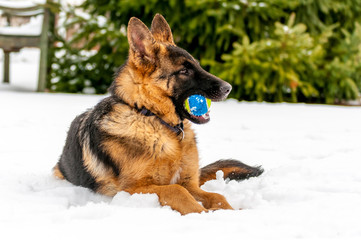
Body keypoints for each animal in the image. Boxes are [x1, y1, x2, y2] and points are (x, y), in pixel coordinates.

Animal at [53, 14, 262, 215]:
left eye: (197, 65)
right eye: (184, 71)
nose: (228, 88)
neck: (151, 117)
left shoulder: (190, 183)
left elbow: (216, 195)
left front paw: (231, 212)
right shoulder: (132, 189)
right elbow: (177, 191)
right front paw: (205, 213)